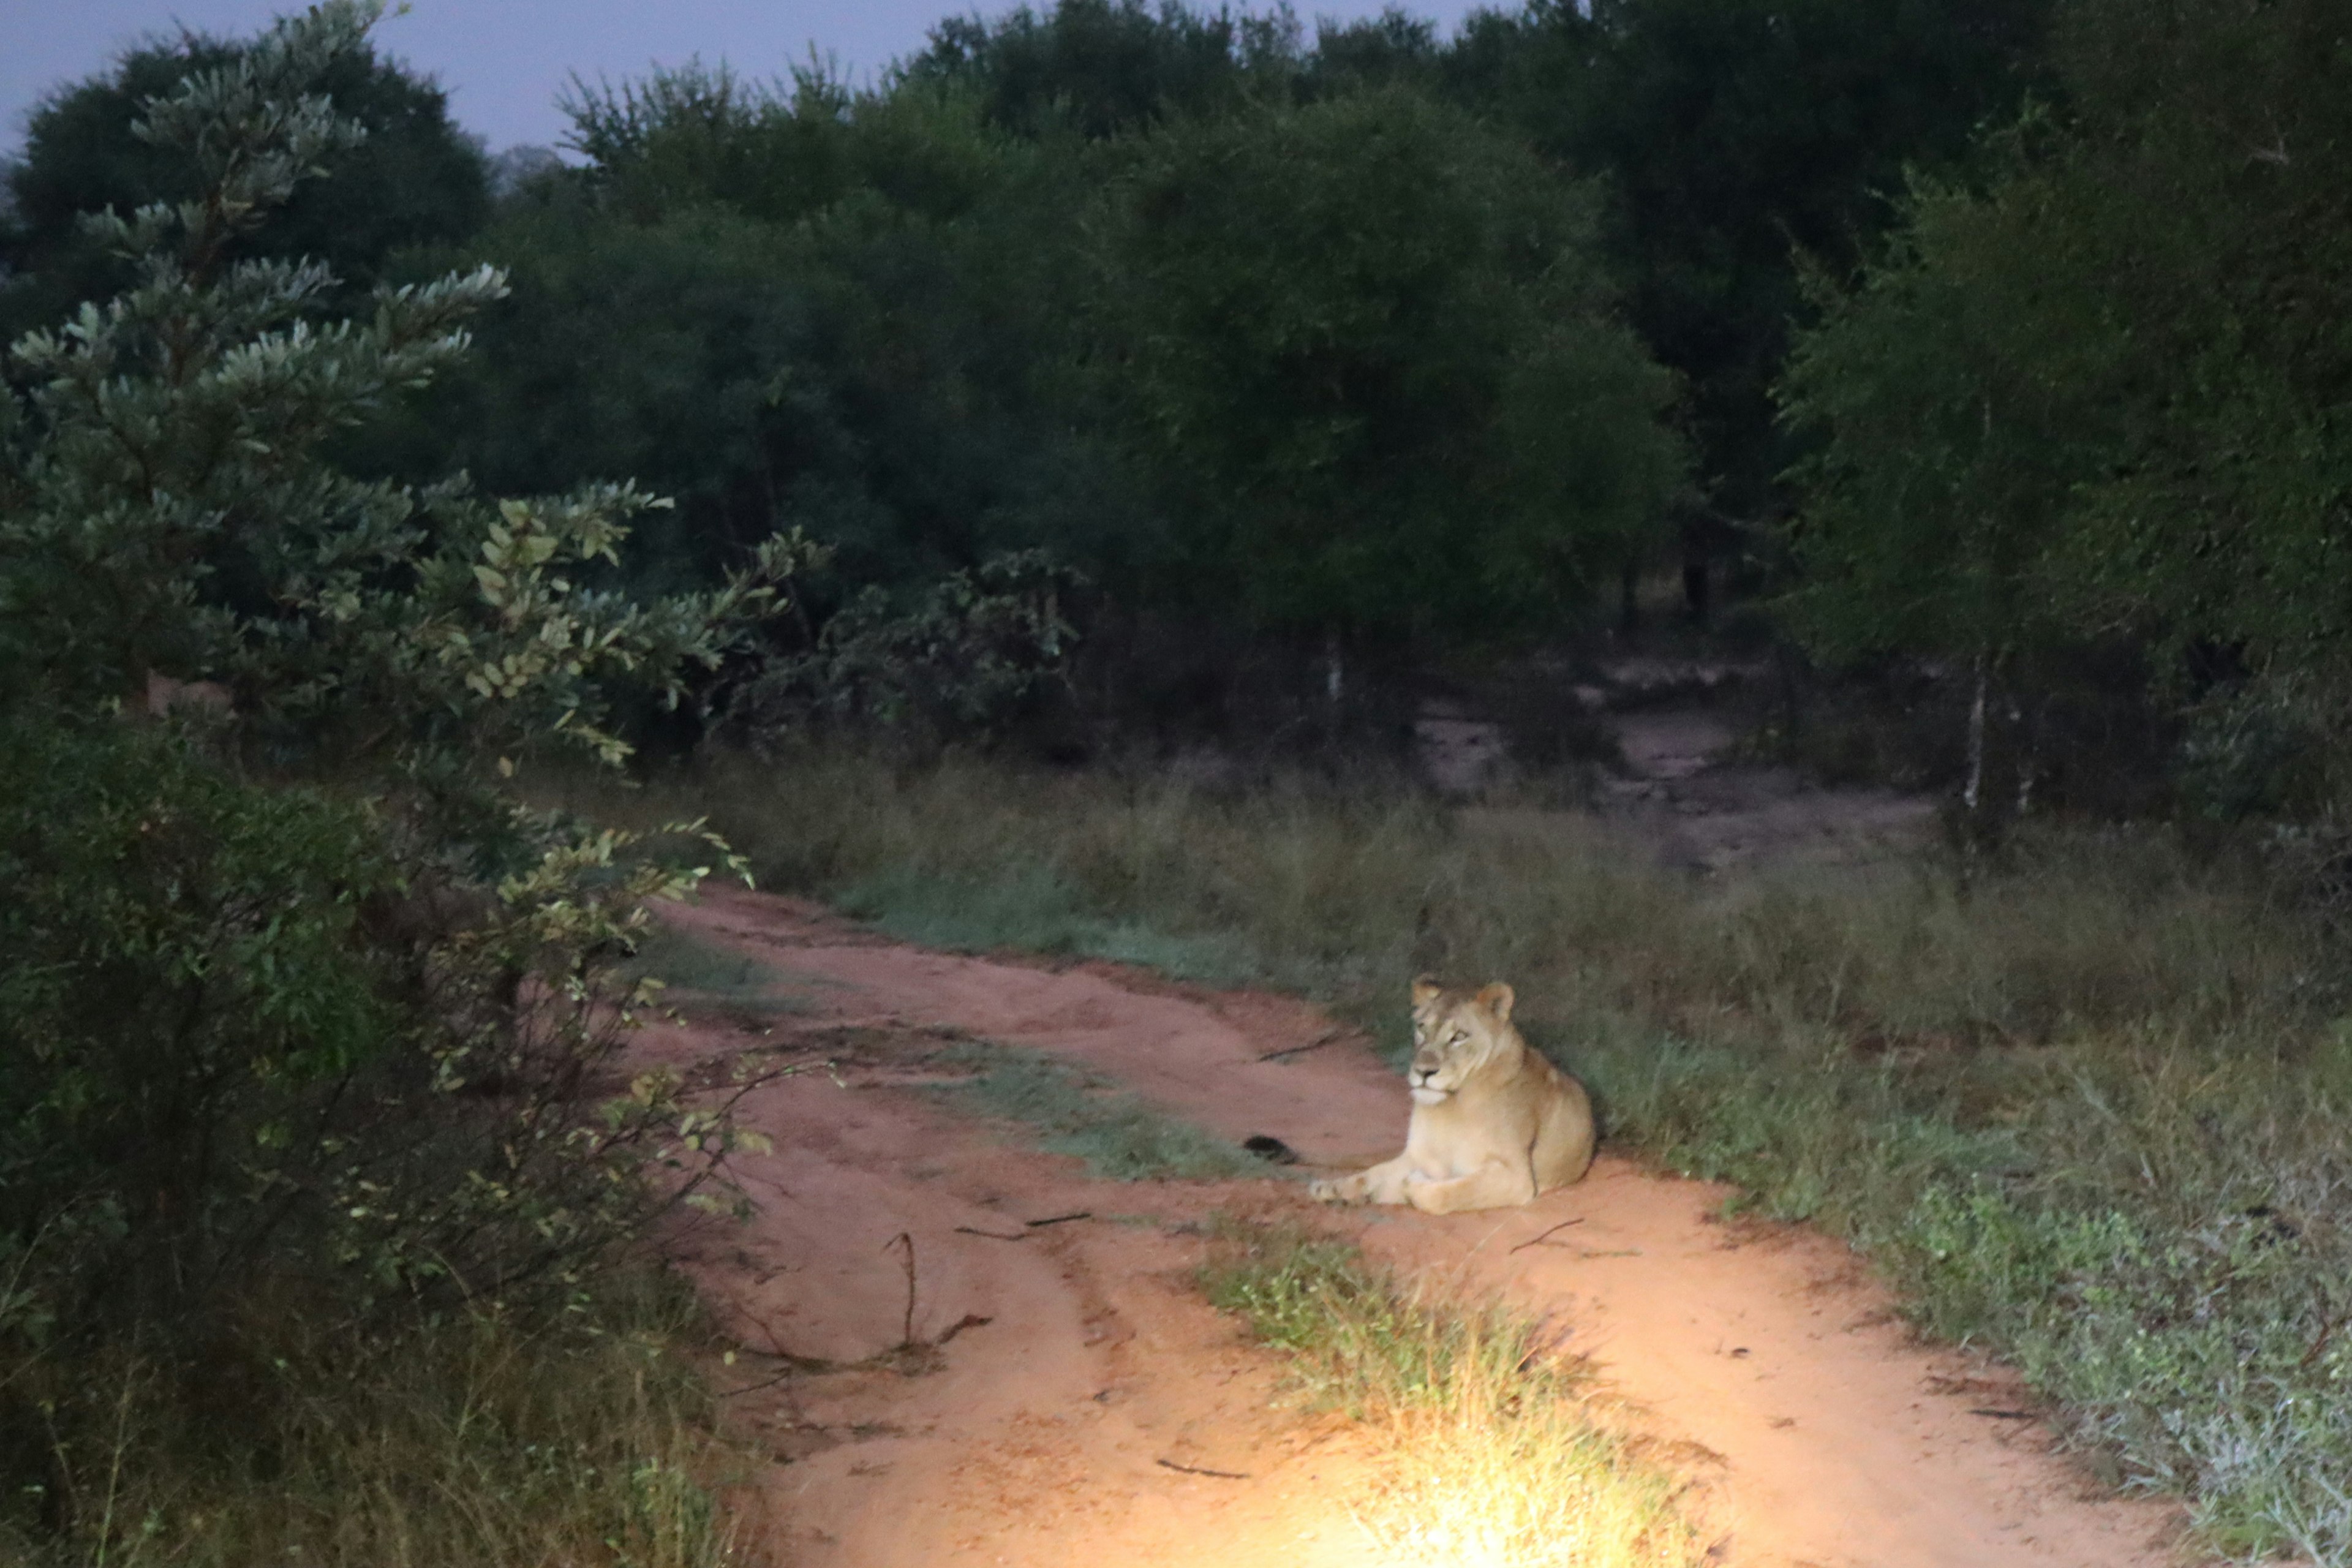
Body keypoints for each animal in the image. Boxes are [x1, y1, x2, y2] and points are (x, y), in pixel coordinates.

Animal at [1308, 973, 1599, 1222]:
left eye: (1459, 1036)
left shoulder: (1518, 1177)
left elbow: (1444, 1193)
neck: (1451, 1106)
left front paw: (1408, 1185)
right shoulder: (1419, 1154)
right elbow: (1372, 1174)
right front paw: (1332, 1188)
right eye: (1422, 1028)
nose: (1423, 1072)